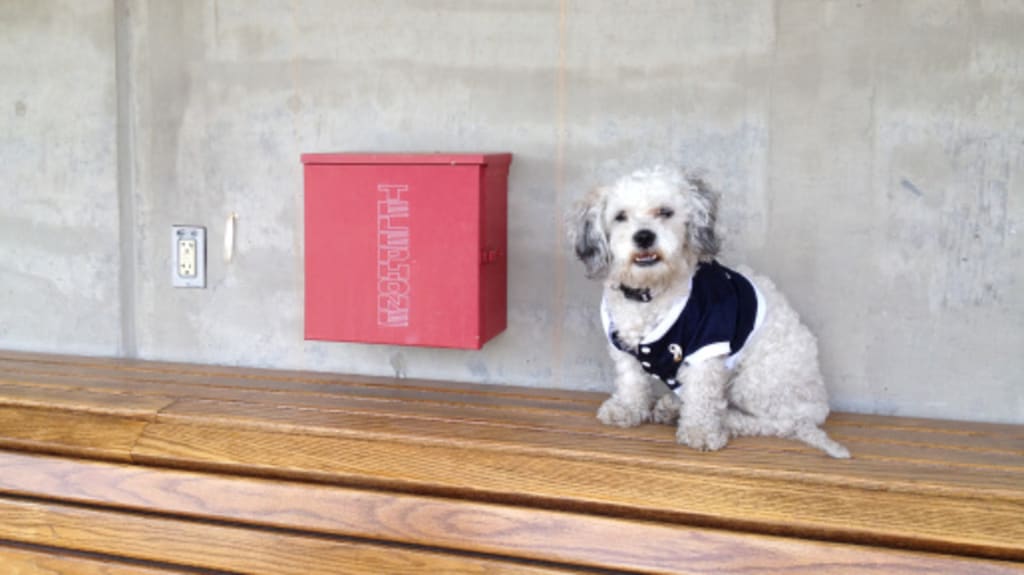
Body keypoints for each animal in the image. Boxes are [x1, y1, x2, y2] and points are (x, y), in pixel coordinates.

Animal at [569, 165, 847, 456]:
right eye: (620, 217)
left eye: (665, 212)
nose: (644, 236)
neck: (650, 292)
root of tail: (819, 405)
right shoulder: (623, 346)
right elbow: (631, 381)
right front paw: (628, 409)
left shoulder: (707, 345)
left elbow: (701, 396)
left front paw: (700, 431)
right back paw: (673, 407)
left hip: (757, 382)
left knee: (779, 423)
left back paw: (725, 419)